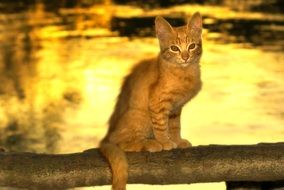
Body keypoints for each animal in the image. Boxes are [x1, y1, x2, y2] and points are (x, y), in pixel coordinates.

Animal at [100, 12, 202, 190]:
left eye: (192, 46)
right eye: (174, 48)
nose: (185, 57)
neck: (184, 72)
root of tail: (106, 136)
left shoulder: (176, 108)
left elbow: (174, 126)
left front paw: (177, 140)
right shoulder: (157, 103)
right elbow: (161, 126)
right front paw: (165, 141)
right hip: (139, 116)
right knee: (121, 142)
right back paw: (149, 143)